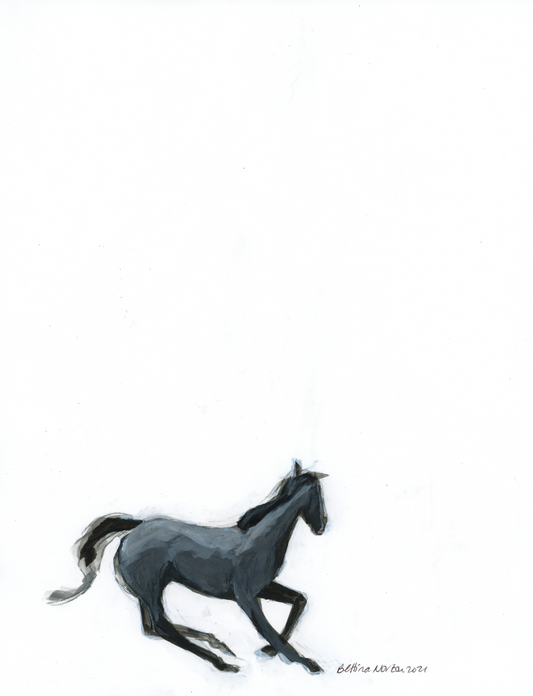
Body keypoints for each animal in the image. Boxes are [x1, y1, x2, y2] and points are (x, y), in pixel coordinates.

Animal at [46, 460, 328, 674]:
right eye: (319, 494)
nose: (322, 525)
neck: (261, 539)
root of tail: (134, 528)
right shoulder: (246, 597)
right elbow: (267, 628)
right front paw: (307, 663)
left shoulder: (264, 588)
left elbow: (299, 601)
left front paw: (270, 651)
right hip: (151, 589)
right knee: (161, 626)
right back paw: (222, 662)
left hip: (147, 591)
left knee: (151, 627)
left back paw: (218, 644)